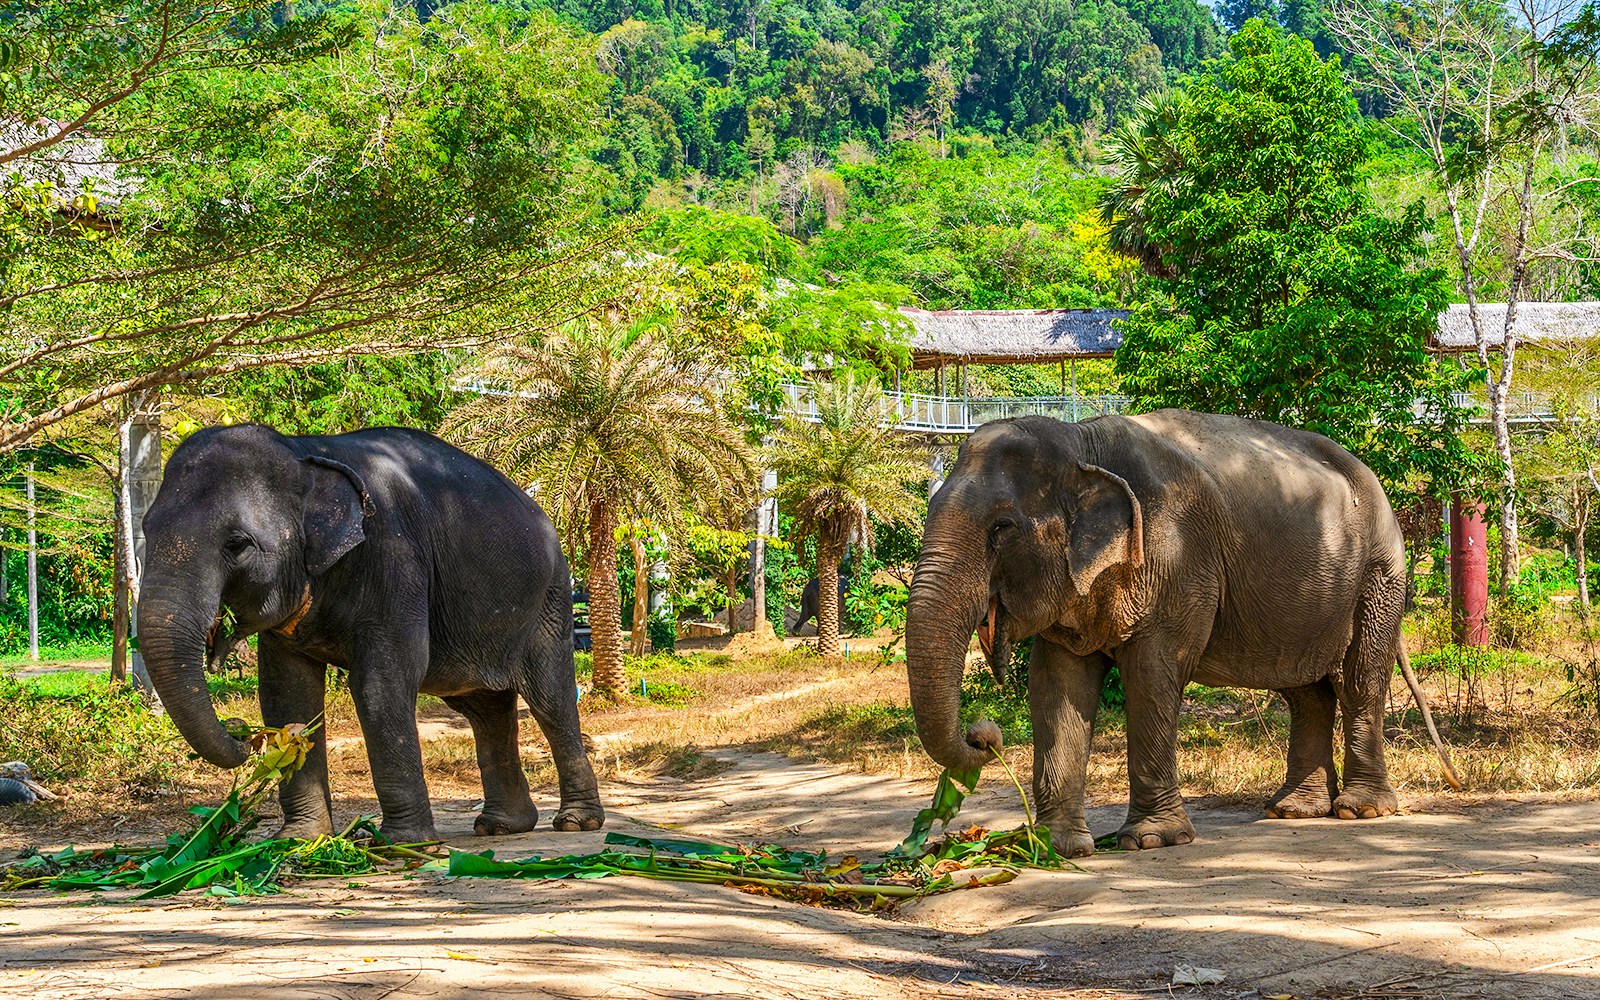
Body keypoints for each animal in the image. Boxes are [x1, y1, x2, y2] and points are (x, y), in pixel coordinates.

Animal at [139, 424, 604, 844]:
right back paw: (501, 827)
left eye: (236, 544)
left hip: (549, 601)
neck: (303, 450)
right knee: (484, 708)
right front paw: (299, 841)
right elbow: (286, 692)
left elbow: (381, 683)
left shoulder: (395, 561)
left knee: (550, 701)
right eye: (144, 529)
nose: (242, 734)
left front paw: (404, 844)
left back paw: (575, 823)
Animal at [905, 409, 1459, 857]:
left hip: (1379, 572)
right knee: (1306, 691)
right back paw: (1293, 810)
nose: (983, 736)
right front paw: (1051, 848)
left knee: (1360, 680)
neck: (1082, 443)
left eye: (1002, 528)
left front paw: (1152, 841)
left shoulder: (1177, 561)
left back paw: (1359, 811)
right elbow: (1055, 684)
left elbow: (1152, 673)